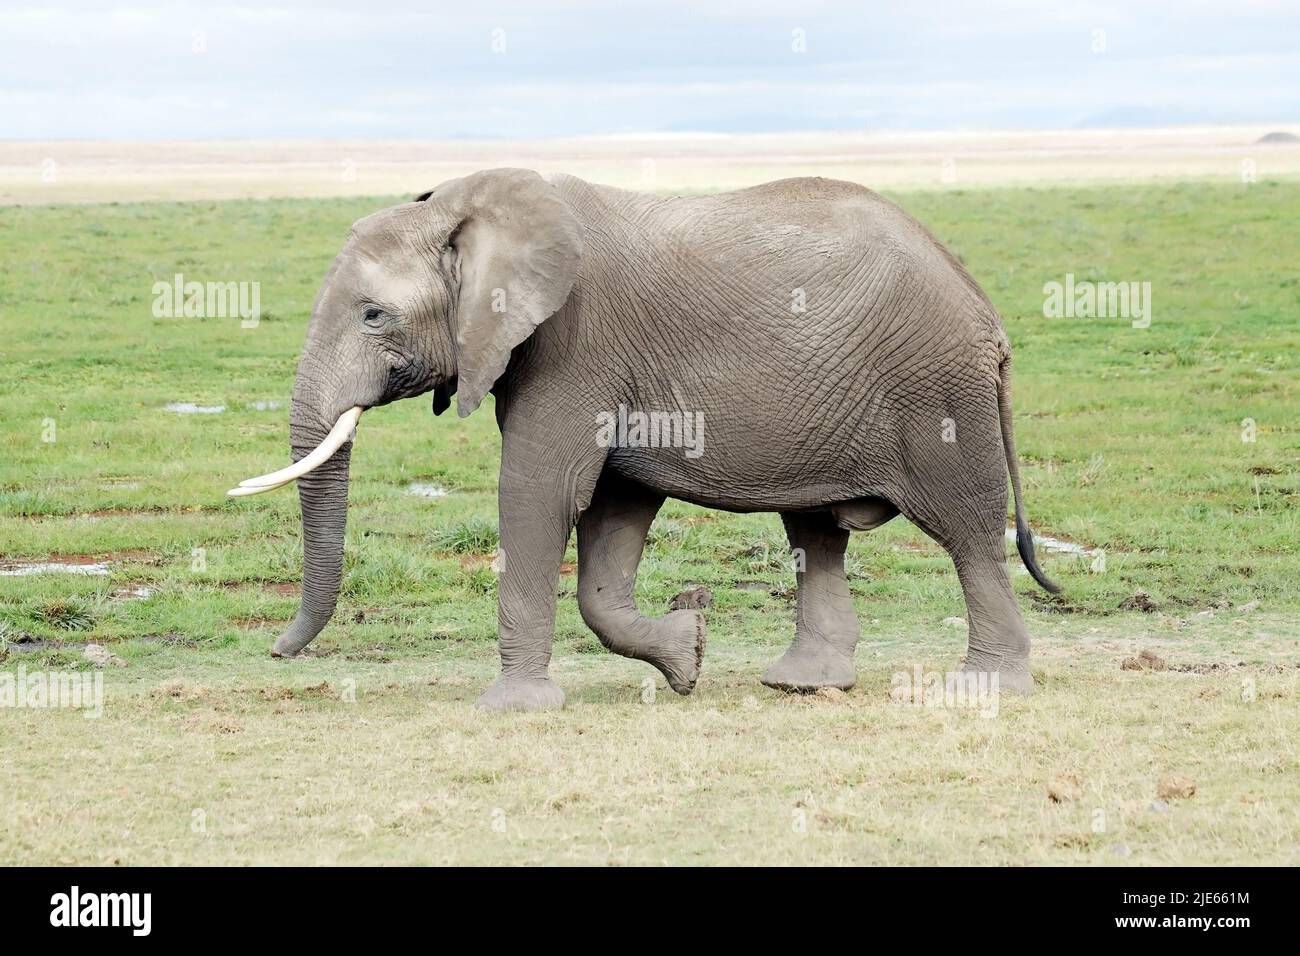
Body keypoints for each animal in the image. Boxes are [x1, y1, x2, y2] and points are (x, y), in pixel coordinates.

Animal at [230, 168, 1059, 711]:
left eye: (373, 316)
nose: (276, 652)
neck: (466, 208)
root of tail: (984, 306)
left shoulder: (575, 343)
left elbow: (540, 490)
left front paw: (512, 708)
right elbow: (612, 513)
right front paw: (687, 654)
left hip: (936, 388)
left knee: (966, 533)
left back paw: (982, 686)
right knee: (816, 533)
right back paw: (801, 684)